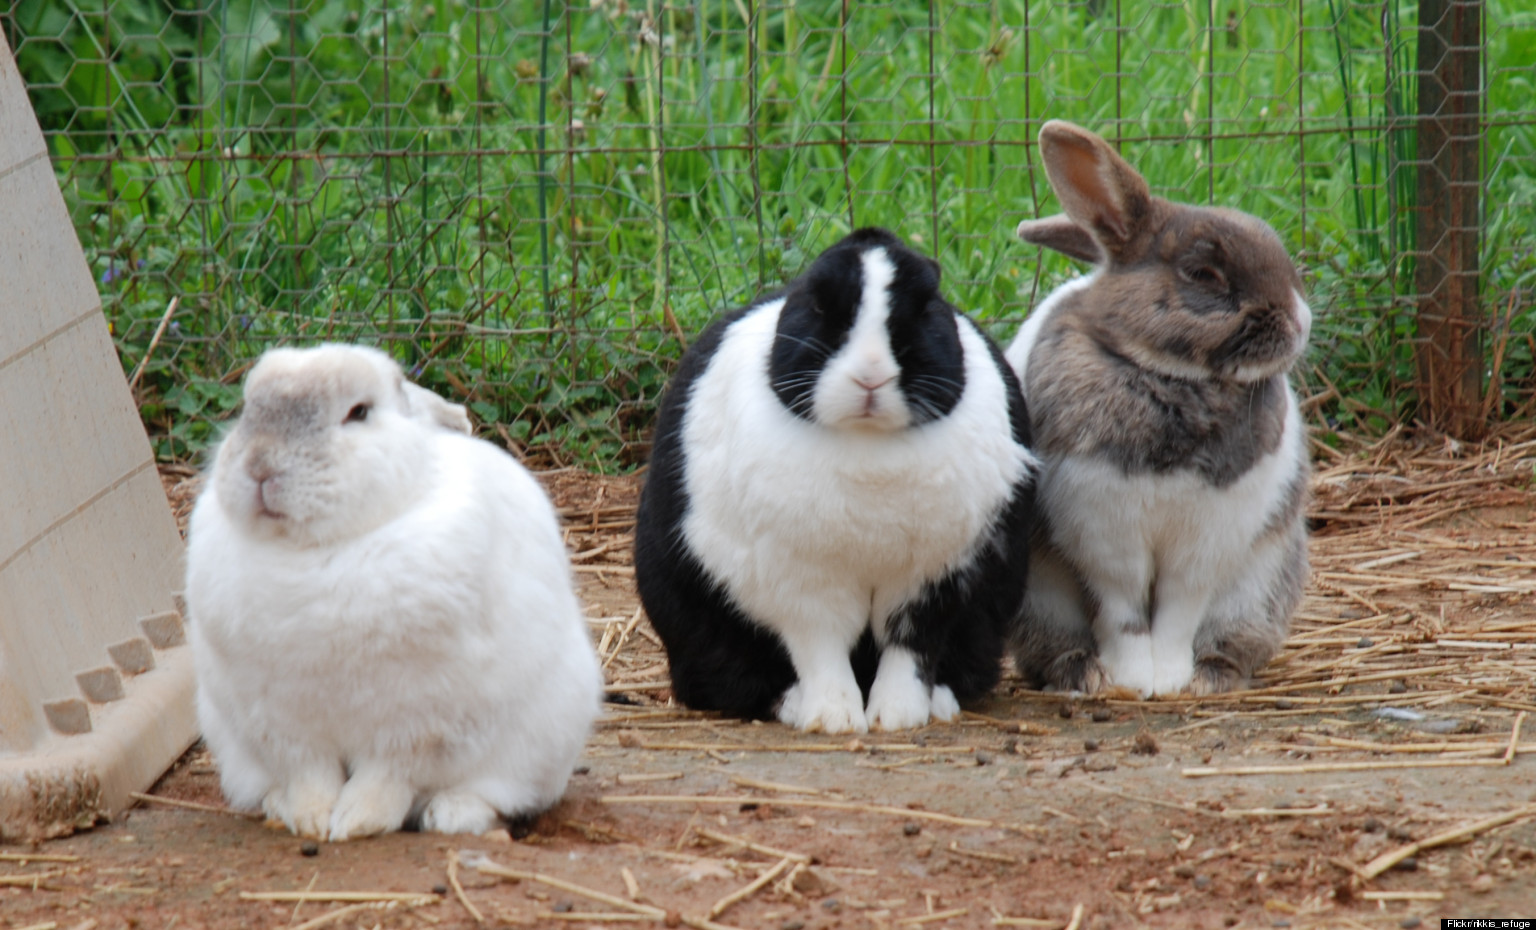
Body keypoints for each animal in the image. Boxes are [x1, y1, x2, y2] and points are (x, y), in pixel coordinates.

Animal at [184, 344, 601, 840]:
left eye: (359, 412)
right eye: (249, 408)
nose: (261, 465)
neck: (319, 551)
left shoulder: (419, 724)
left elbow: (387, 776)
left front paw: (355, 823)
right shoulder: (283, 727)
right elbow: (310, 776)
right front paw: (311, 821)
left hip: (536, 745)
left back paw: (452, 813)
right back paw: (278, 806)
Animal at [634, 227, 1037, 734]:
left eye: (928, 304)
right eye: (818, 304)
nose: (871, 376)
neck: (866, 441)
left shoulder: (934, 580)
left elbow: (910, 648)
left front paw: (896, 716)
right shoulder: (802, 587)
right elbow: (820, 650)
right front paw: (835, 719)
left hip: (984, 619)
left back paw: (940, 704)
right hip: (695, 624)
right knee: (730, 677)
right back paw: (792, 705)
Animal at [1004, 120, 1311, 699]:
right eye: (1203, 273)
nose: (1300, 322)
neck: (1173, 378)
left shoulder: (1205, 545)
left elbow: (1177, 613)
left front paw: (1171, 682)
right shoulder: (1103, 537)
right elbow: (1121, 612)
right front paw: (1131, 680)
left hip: (1259, 590)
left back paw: (1212, 675)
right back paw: (1083, 674)